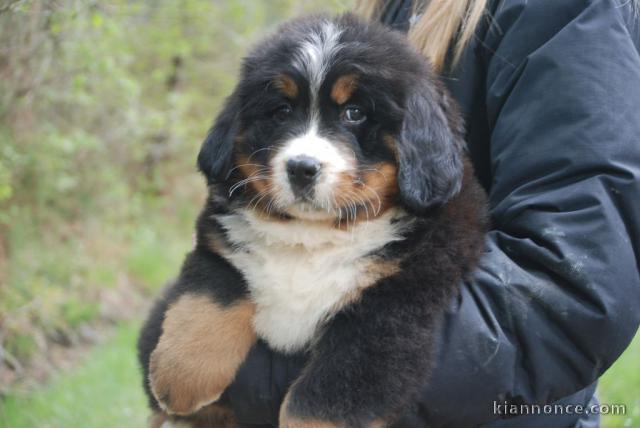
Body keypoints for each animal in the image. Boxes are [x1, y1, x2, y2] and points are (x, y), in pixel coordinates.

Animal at [136, 12, 484, 428]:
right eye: (282, 111)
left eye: (355, 113)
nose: (302, 168)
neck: (311, 235)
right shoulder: (219, 242)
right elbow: (210, 294)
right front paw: (179, 379)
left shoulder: (390, 307)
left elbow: (323, 399)